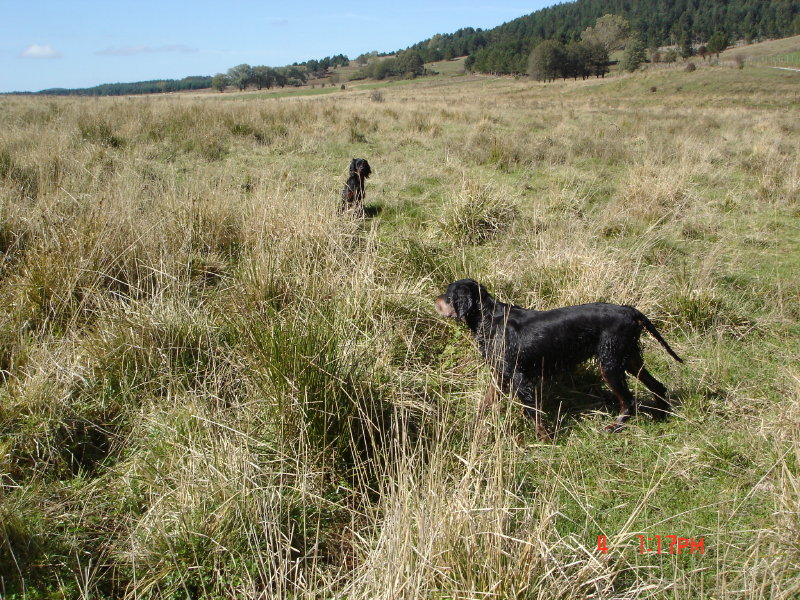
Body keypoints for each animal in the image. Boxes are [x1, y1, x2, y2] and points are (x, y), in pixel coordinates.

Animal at [434, 278, 684, 438]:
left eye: (448, 295)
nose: (436, 300)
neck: (489, 318)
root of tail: (629, 310)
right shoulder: (500, 375)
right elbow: (484, 404)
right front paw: (471, 427)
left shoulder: (520, 378)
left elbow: (533, 413)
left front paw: (545, 440)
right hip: (628, 358)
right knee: (658, 386)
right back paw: (663, 414)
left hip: (610, 364)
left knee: (629, 401)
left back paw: (615, 427)